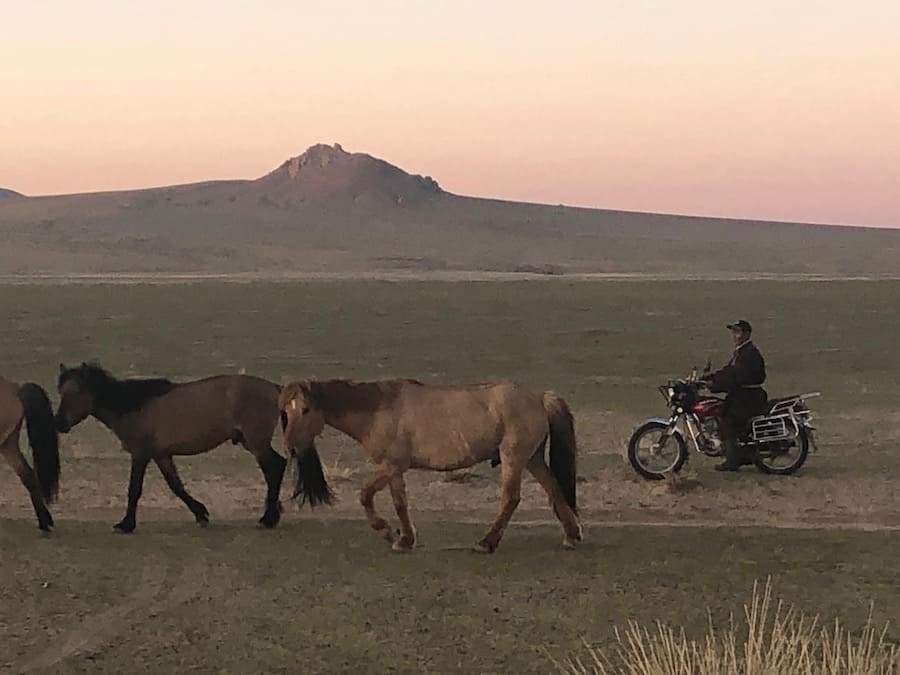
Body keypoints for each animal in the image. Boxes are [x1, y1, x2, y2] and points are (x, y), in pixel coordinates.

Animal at [55, 364, 302, 532]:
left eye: (75, 392)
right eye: (61, 392)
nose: (58, 422)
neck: (134, 406)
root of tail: (276, 389)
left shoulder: (140, 454)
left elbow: (134, 489)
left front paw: (126, 524)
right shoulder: (161, 455)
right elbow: (176, 486)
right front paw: (201, 513)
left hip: (256, 443)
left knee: (274, 468)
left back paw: (268, 518)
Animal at [278, 380, 580, 556]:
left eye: (305, 410)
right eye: (286, 411)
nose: (290, 447)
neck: (378, 410)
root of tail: (539, 398)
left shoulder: (390, 465)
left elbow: (364, 494)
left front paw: (386, 531)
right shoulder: (394, 470)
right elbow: (400, 503)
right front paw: (404, 539)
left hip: (513, 458)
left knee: (511, 498)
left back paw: (487, 542)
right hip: (533, 459)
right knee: (554, 489)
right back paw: (571, 536)